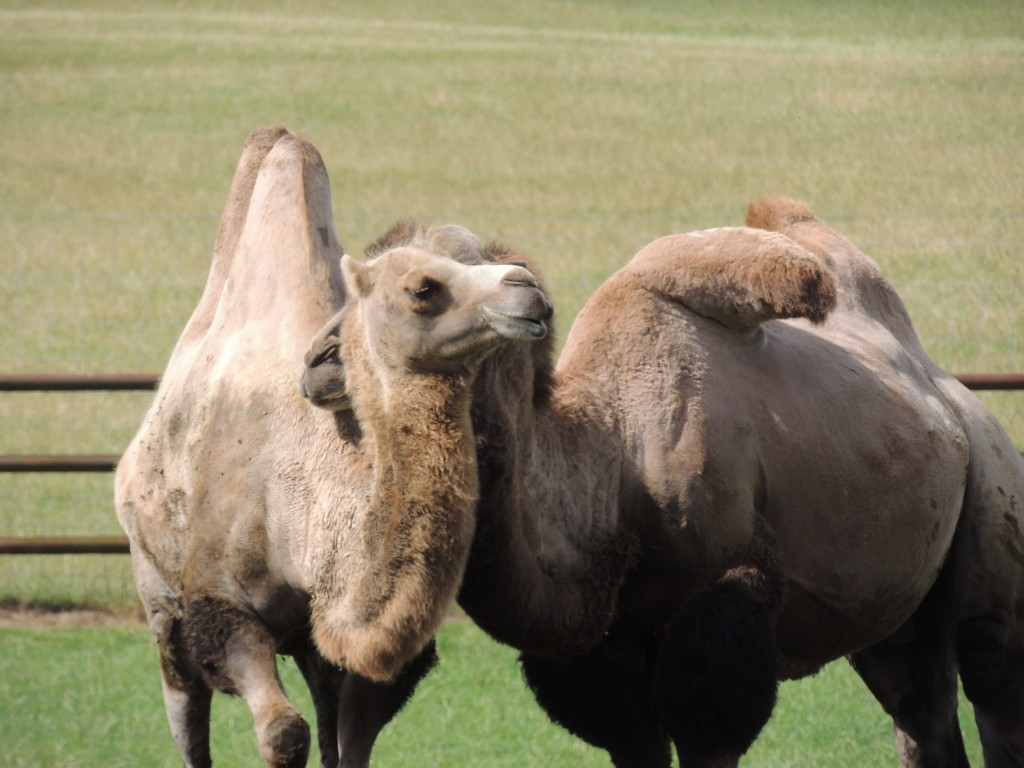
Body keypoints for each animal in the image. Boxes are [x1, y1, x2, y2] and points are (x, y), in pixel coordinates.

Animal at [112, 128, 552, 768]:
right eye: (423, 288)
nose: (527, 286)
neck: (300, 500)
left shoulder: (362, 655)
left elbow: (350, 744)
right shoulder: (221, 607)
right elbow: (282, 733)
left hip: (306, 645)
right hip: (155, 588)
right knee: (185, 706)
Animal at [305, 199, 1024, 768]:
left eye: (422, 288)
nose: (318, 358)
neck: (612, 469)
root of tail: (956, 399)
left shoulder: (723, 612)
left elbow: (712, 726)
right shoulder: (607, 657)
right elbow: (633, 737)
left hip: (994, 509)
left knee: (991, 672)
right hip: (894, 609)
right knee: (922, 711)